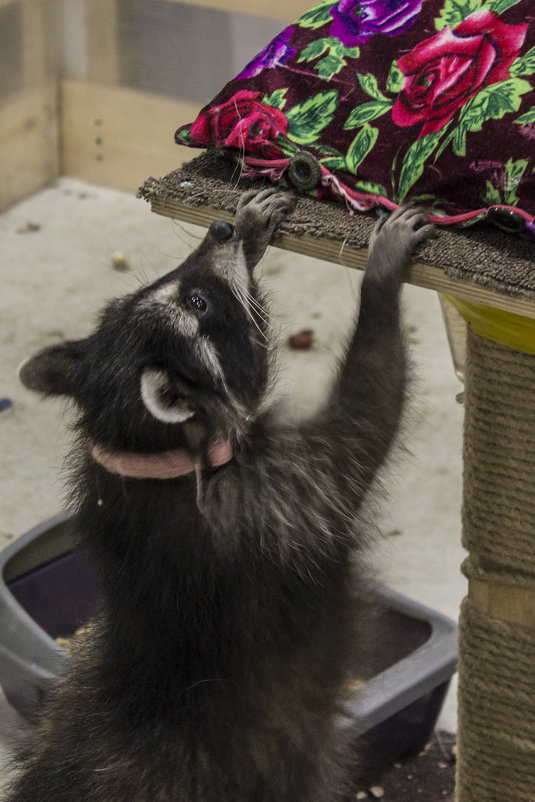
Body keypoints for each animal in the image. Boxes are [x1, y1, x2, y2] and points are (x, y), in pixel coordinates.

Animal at [8, 191, 434, 796]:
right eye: (199, 303)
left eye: (180, 287)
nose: (220, 230)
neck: (147, 451)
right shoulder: (282, 498)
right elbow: (369, 408)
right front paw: (381, 279)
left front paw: (251, 231)